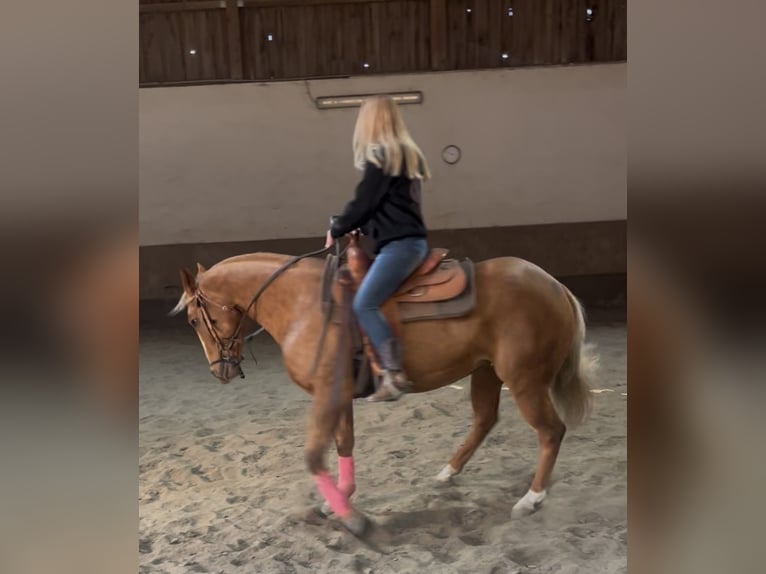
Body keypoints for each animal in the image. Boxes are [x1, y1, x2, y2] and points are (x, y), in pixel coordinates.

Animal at [170, 245, 596, 534]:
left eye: (193, 319)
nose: (220, 371)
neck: (303, 304)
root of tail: (555, 286)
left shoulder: (327, 394)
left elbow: (319, 453)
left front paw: (347, 513)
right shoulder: (339, 394)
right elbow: (344, 443)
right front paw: (339, 500)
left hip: (524, 378)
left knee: (550, 431)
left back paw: (530, 499)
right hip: (487, 372)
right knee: (484, 419)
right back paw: (447, 472)